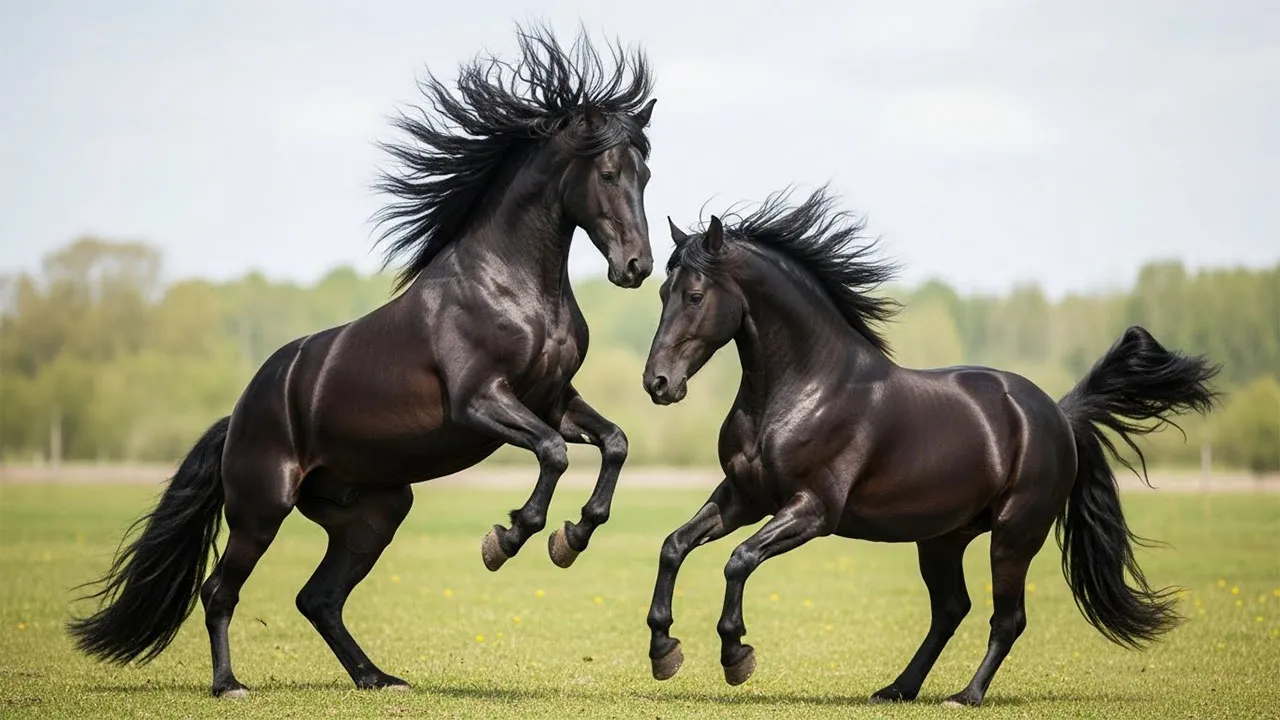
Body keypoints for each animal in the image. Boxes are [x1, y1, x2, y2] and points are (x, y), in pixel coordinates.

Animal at [67, 25, 659, 698]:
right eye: (608, 172)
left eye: (645, 173)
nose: (636, 267)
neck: (510, 287)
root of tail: (238, 415)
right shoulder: (482, 400)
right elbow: (554, 454)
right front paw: (505, 539)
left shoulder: (554, 400)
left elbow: (614, 443)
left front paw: (572, 536)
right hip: (261, 510)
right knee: (221, 591)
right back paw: (230, 684)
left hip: (374, 513)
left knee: (318, 599)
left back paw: (377, 678)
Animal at [639, 187, 1219, 707]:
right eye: (662, 293)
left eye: (694, 296)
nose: (658, 383)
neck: (805, 389)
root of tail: (1056, 414)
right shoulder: (744, 497)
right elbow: (673, 545)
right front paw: (664, 650)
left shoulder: (812, 510)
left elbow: (738, 560)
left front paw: (736, 655)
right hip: (942, 538)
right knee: (950, 609)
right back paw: (898, 688)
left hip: (1015, 534)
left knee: (1006, 618)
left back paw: (966, 696)